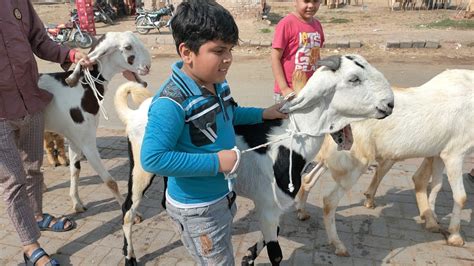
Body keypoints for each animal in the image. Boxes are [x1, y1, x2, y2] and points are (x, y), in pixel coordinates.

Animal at [39, 31, 151, 212]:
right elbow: (110, 181)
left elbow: (75, 170)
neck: (83, 88)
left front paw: (77, 203)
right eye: (128, 47)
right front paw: (128, 210)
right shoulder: (88, 143)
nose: (147, 66)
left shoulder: (75, 140)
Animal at [113, 54, 394, 264]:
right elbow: (276, 253)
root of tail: (135, 113)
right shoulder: (268, 204)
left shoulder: (273, 204)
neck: (289, 142)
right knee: (128, 209)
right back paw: (130, 257)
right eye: (354, 78)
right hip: (142, 167)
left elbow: (275, 232)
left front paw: (248, 256)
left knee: (165, 201)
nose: (389, 104)